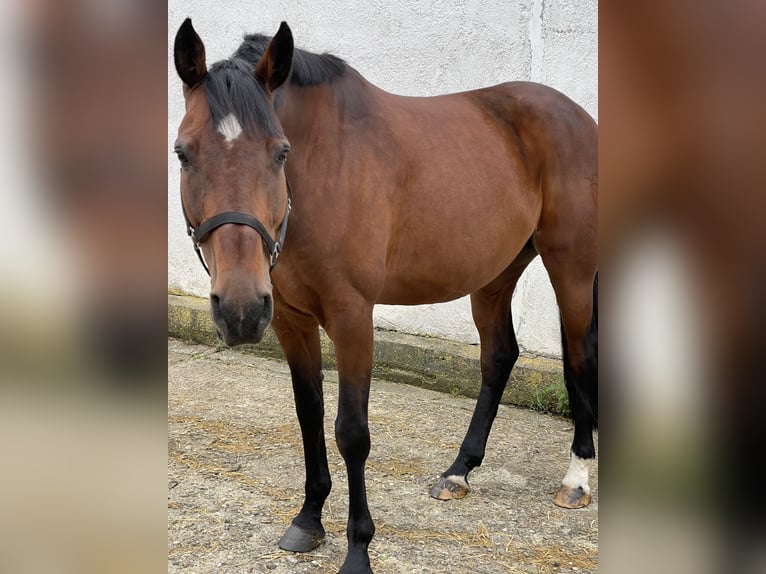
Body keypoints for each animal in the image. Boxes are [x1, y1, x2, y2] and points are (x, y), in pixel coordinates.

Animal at [173, 19, 597, 574]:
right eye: (183, 153)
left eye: (280, 151)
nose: (239, 309)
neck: (324, 166)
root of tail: (578, 115)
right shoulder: (289, 319)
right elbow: (309, 415)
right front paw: (308, 519)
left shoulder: (352, 316)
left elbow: (351, 432)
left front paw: (358, 550)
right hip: (495, 274)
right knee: (500, 357)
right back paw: (459, 471)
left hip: (571, 268)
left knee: (580, 357)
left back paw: (576, 479)